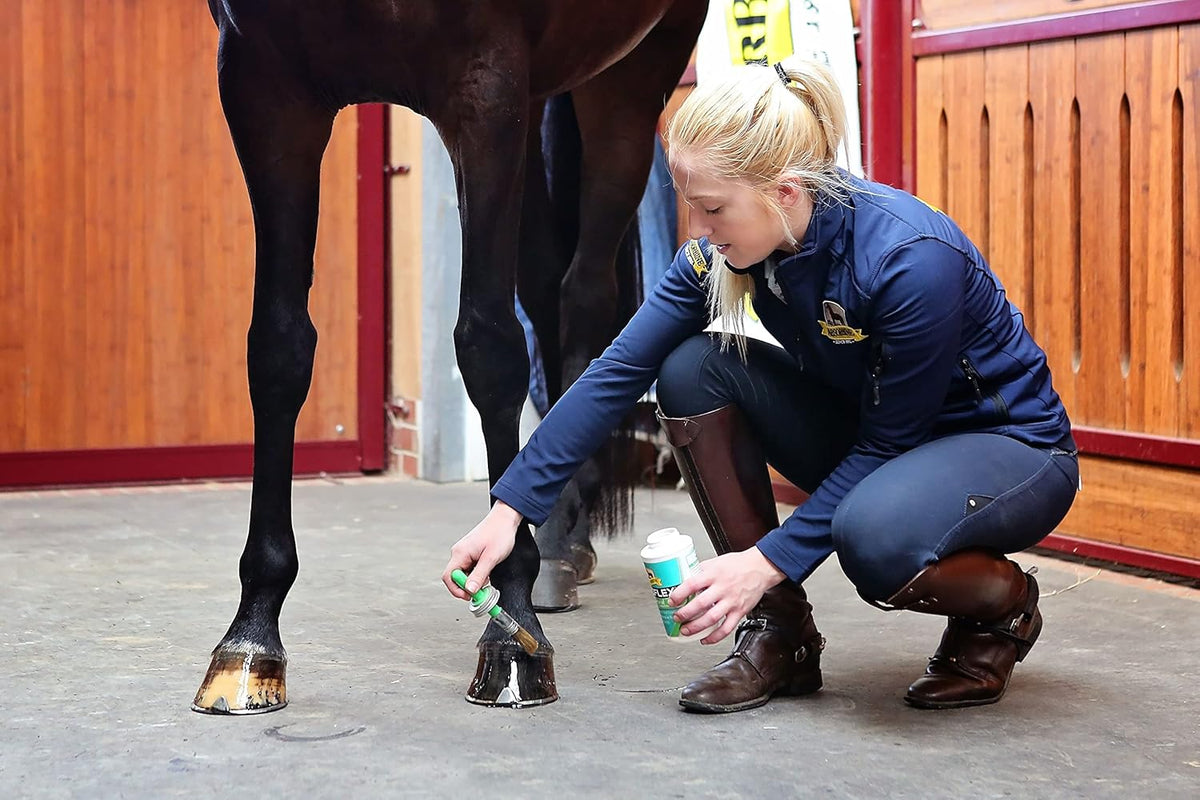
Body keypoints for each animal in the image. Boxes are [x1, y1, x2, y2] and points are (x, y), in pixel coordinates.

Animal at [191, 0, 707, 712]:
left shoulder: (485, 86)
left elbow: (490, 347)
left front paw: (513, 635)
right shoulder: (263, 86)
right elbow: (277, 348)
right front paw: (250, 637)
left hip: (632, 76)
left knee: (586, 294)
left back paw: (553, 545)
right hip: (541, 96)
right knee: (547, 287)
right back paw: (560, 543)